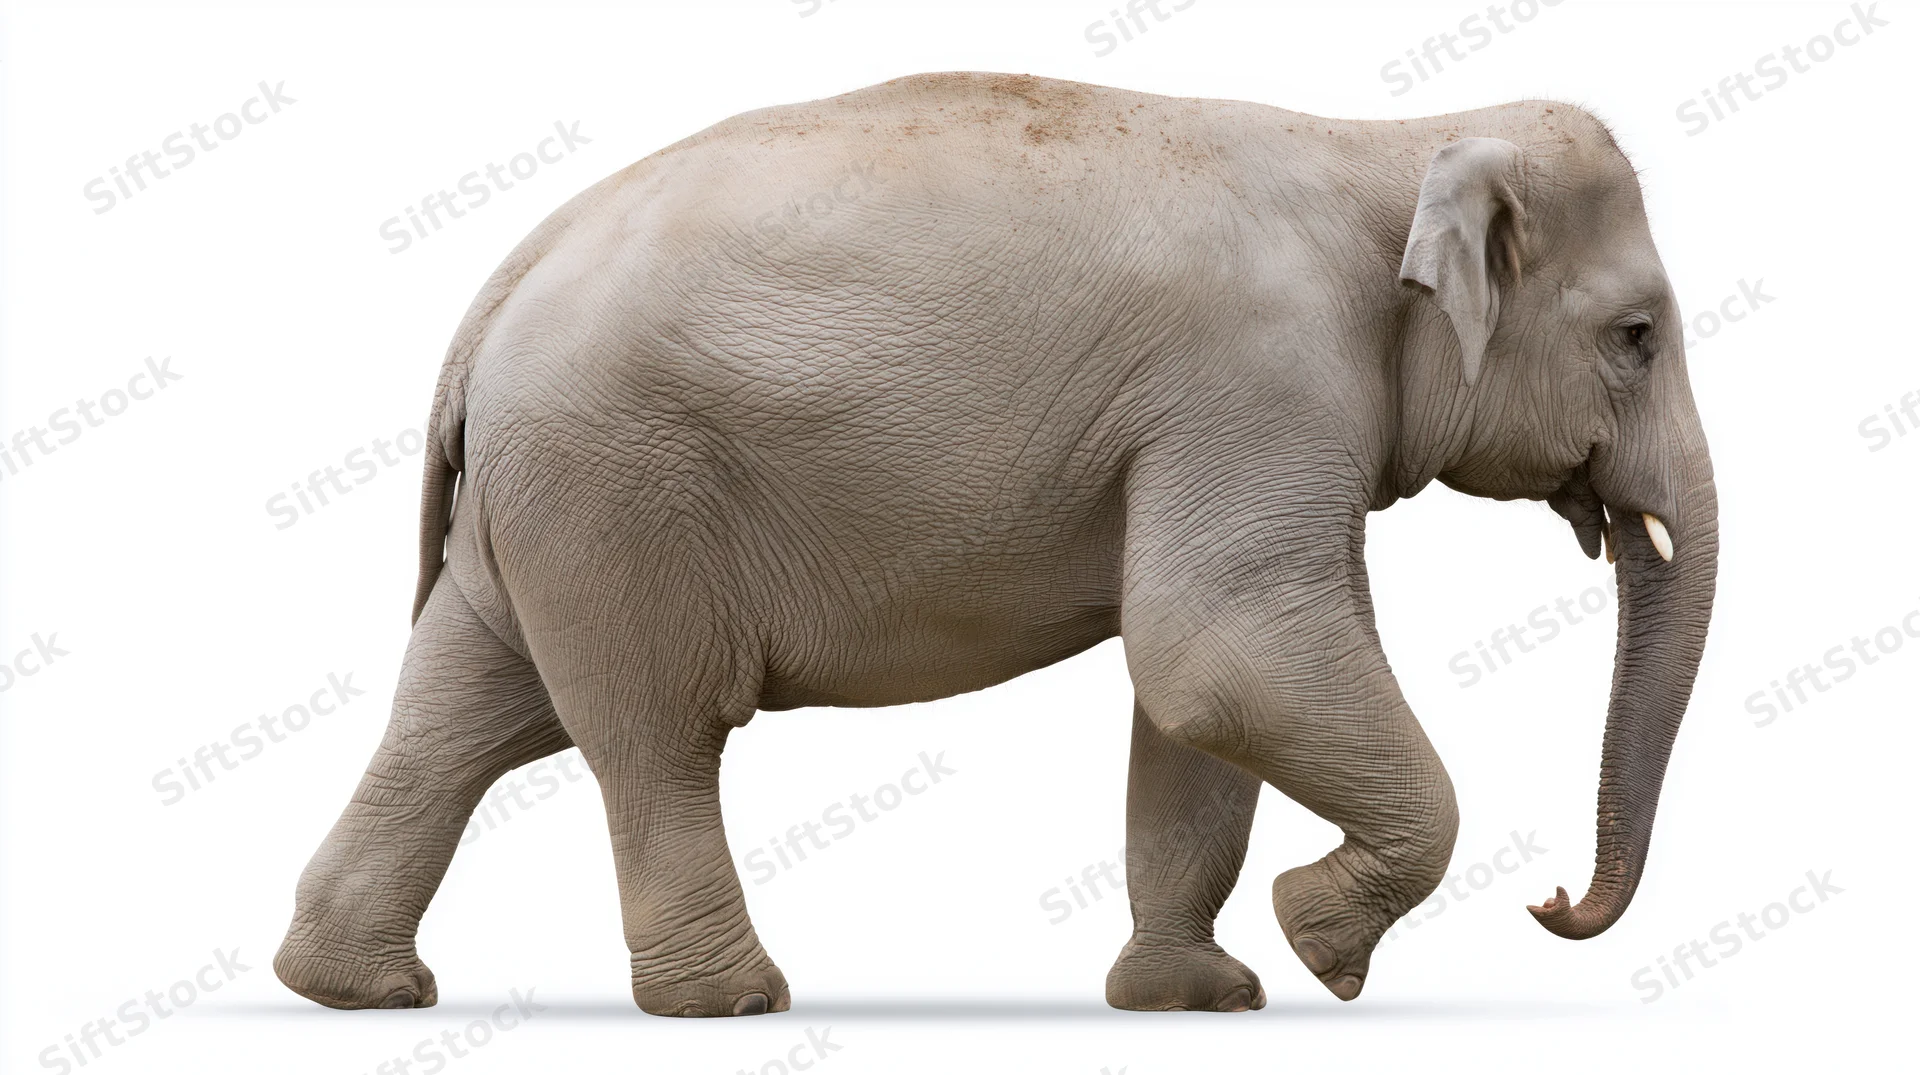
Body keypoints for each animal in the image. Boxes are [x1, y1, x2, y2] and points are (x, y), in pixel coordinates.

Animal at [274, 72, 1717, 1016]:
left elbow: (1194, 698)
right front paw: (1319, 946)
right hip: (616, 491)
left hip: (537, 509)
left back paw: (355, 986)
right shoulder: (1262, 381)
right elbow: (1219, 647)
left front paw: (1199, 995)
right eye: (1638, 335)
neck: (1392, 142)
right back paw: (733, 1003)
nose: (1552, 903)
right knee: (653, 734)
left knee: (463, 712)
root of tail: (489, 300)